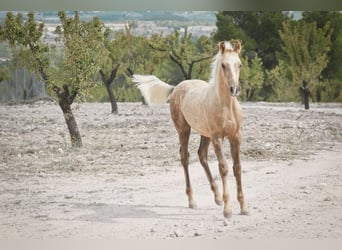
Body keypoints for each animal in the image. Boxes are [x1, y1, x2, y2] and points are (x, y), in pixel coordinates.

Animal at [134, 40, 248, 218]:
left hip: (204, 133)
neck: (226, 106)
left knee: (201, 155)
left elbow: (237, 168)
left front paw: (243, 207)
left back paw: (217, 197)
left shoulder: (236, 137)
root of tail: (176, 88)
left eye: (239, 64)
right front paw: (228, 210)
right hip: (184, 129)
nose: (234, 89)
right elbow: (223, 167)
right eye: (223, 65)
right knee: (185, 157)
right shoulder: (217, 138)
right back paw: (192, 200)